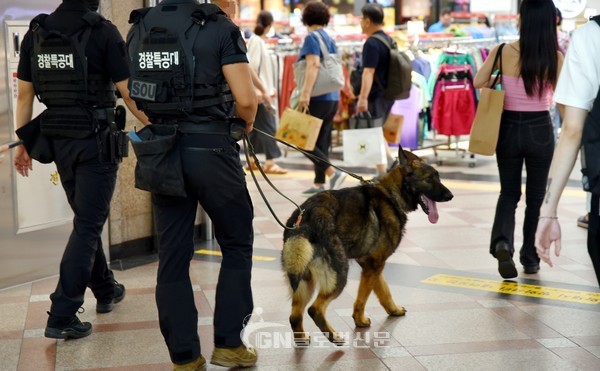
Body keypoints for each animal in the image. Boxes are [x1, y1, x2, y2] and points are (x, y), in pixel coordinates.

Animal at [284, 147, 452, 344]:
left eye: (438, 177)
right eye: (429, 179)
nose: (450, 196)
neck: (391, 194)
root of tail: (306, 218)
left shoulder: (372, 266)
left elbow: (383, 290)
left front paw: (393, 310)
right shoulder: (374, 265)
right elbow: (362, 297)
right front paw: (360, 320)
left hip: (304, 280)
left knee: (295, 316)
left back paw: (302, 338)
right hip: (339, 275)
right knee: (314, 309)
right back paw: (334, 336)